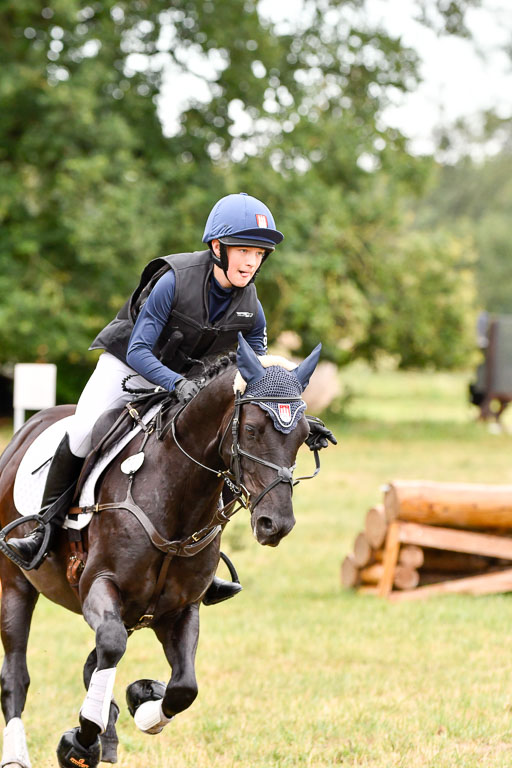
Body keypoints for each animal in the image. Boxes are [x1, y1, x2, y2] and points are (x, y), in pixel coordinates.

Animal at [0, 338, 324, 768]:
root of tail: (27, 430)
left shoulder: (180, 609)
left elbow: (183, 686)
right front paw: (80, 742)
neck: (176, 498)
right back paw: (18, 754)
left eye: (302, 435)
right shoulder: (99, 584)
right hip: (15, 585)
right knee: (16, 674)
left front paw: (141, 700)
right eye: (252, 429)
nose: (277, 524)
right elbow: (111, 645)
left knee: (96, 662)